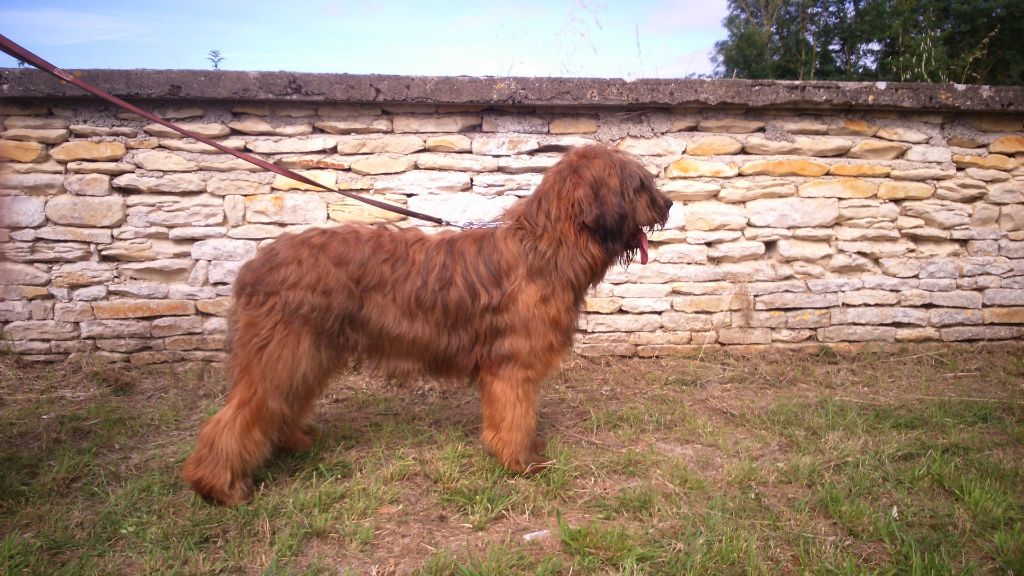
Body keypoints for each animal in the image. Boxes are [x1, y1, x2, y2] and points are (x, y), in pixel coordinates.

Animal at [182, 144, 671, 502]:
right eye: (637, 185)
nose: (669, 204)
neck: (546, 248)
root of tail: (254, 264)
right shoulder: (512, 368)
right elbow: (515, 417)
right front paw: (521, 463)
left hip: (305, 353)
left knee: (277, 404)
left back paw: (291, 442)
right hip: (286, 351)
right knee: (241, 415)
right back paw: (219, 487)